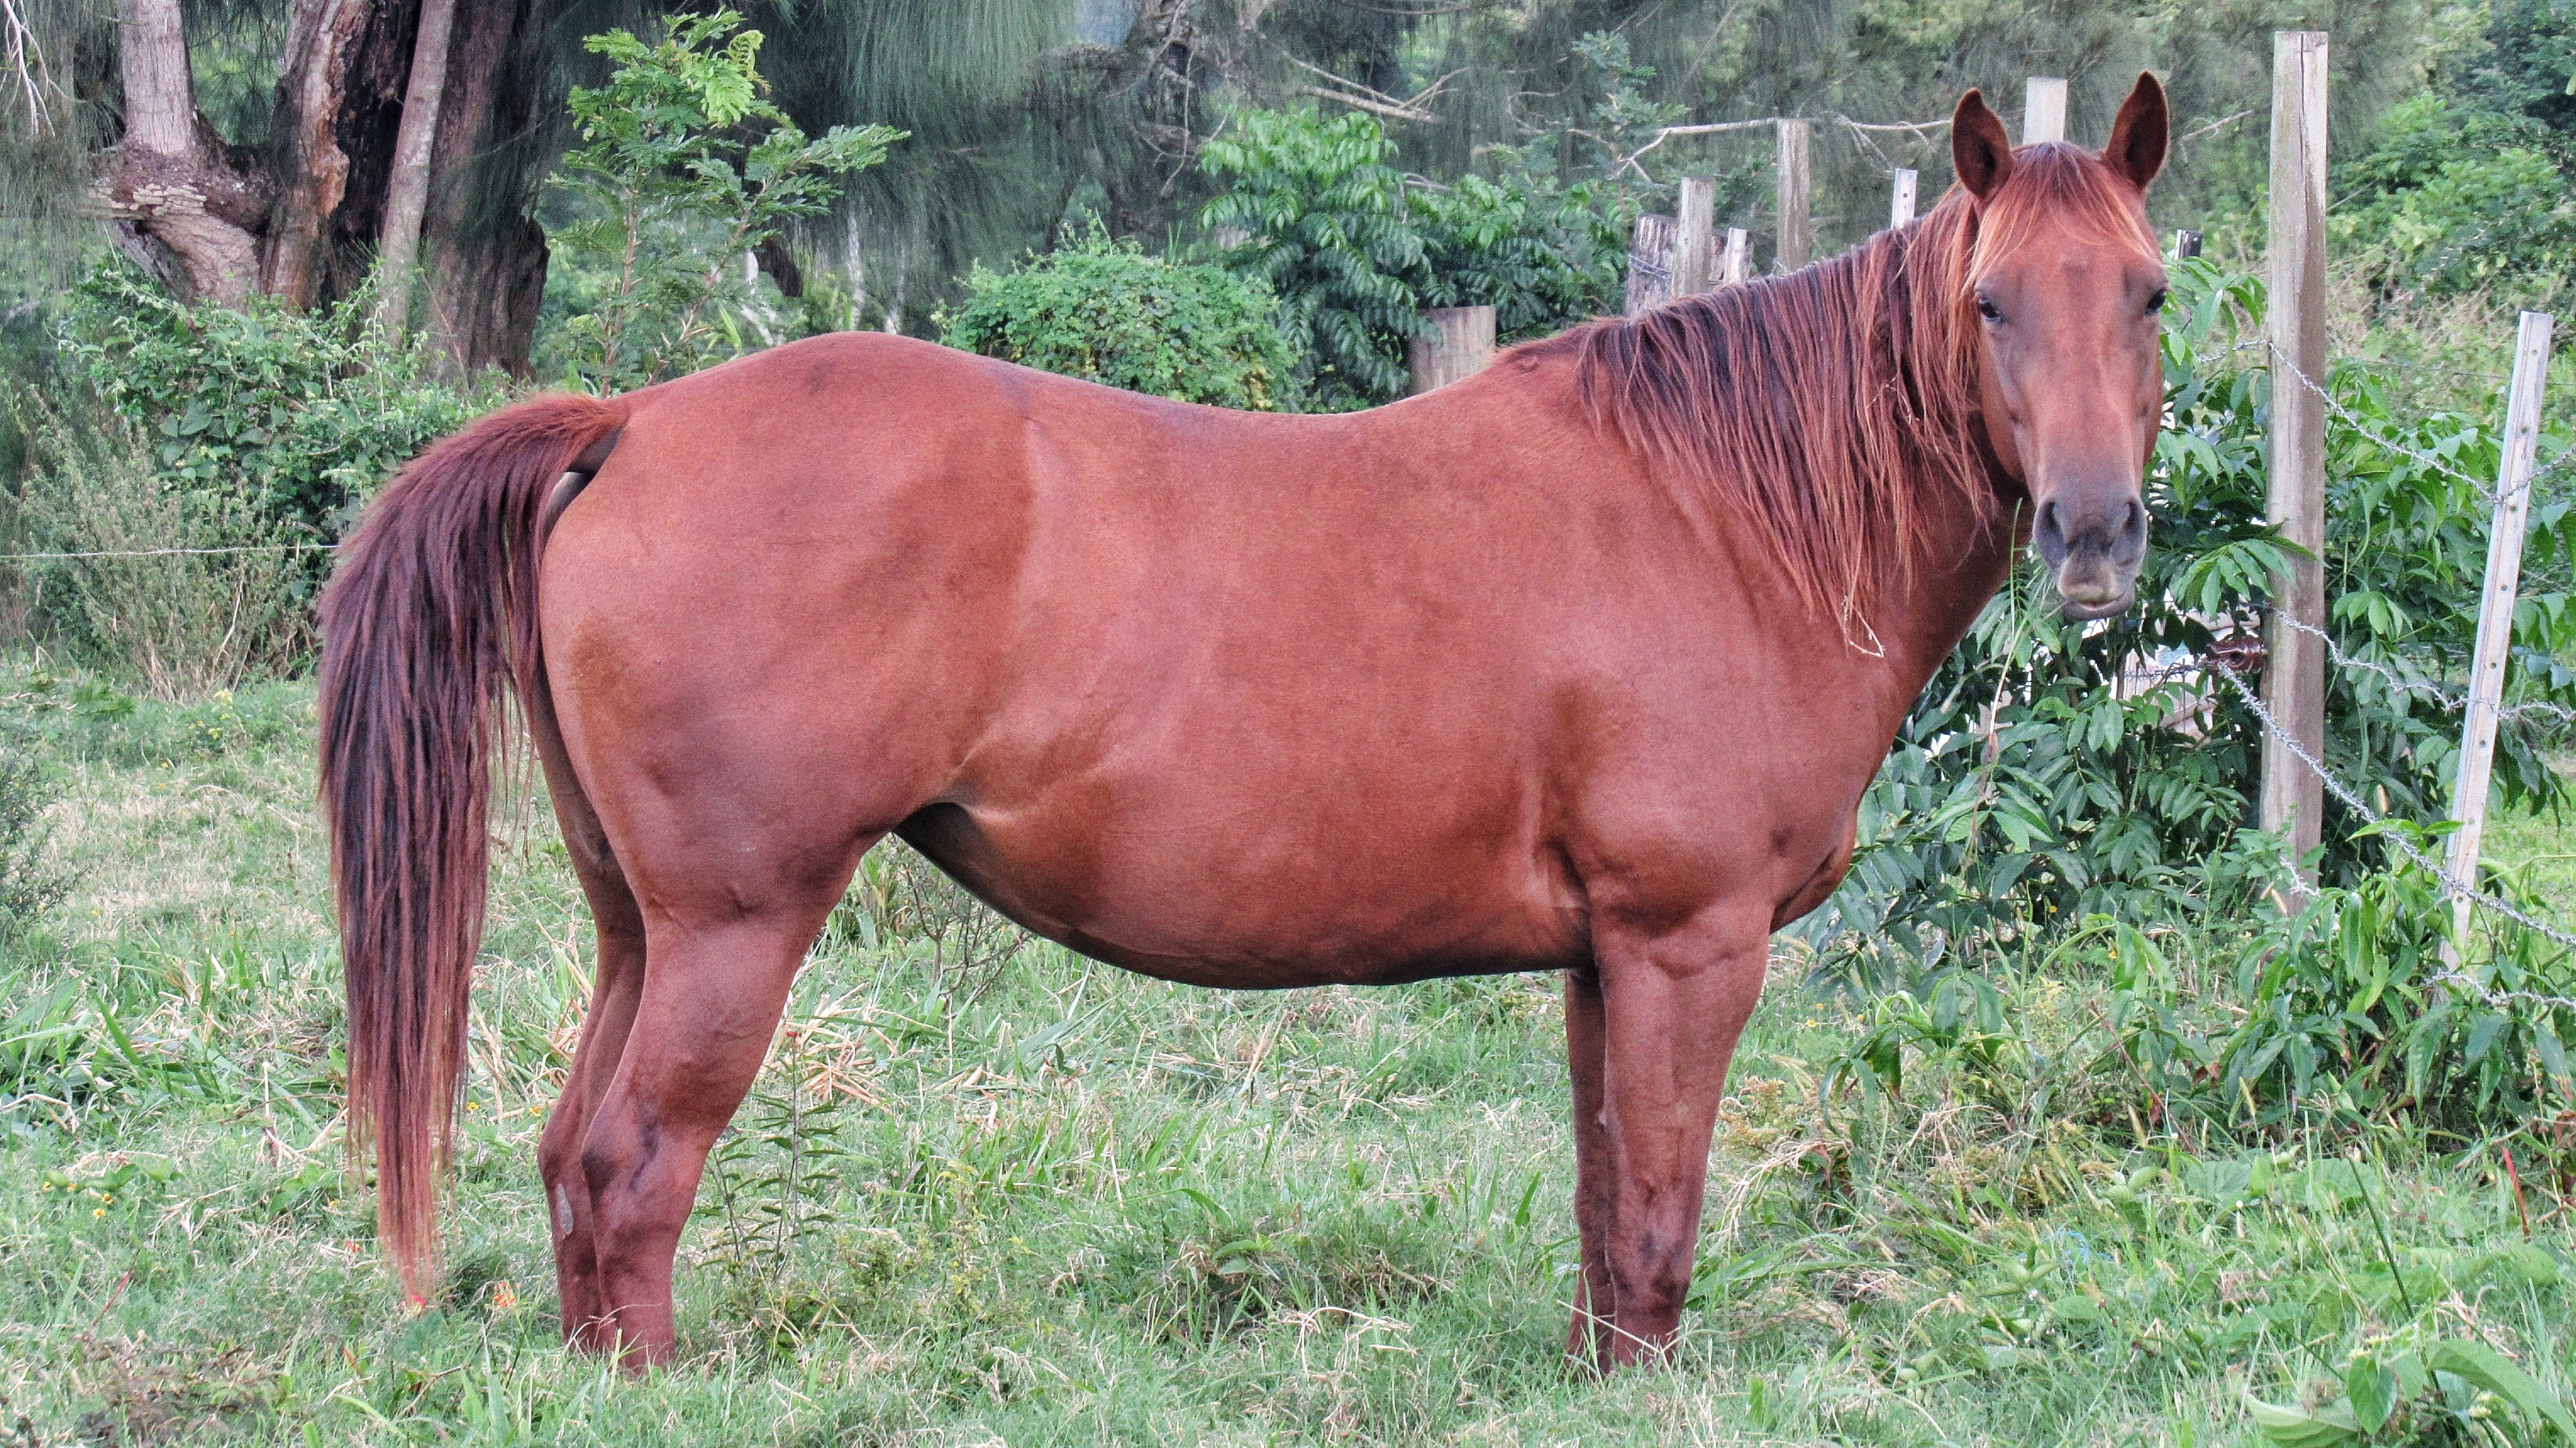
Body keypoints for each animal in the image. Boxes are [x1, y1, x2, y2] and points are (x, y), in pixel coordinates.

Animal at [319, 78, 2170, 1370]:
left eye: (2149, 293)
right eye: (1993, 302)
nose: (2092, 535)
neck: (1721, 514)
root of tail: (629, 420)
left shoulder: (1607, 958)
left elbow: (1605, 1205)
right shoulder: (1685, 940)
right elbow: (1655, 1211)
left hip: (640, 924)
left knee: (574, 1156)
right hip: (735, 924)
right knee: (635, 1161)